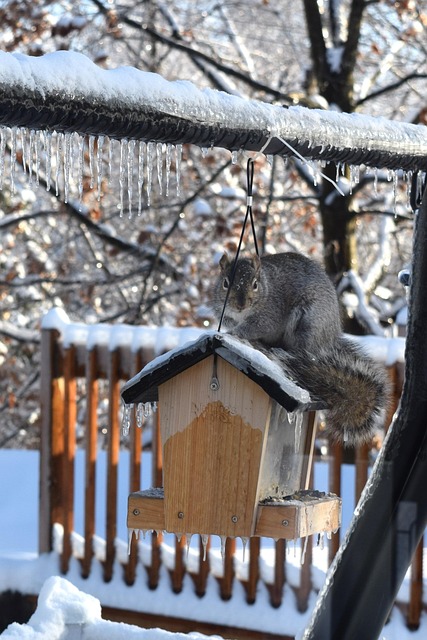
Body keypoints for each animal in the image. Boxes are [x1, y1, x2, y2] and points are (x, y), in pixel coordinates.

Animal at [212, 251, 389, 445]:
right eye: (225, 283)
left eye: (255, 284)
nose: (241, 304)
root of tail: (331, 338)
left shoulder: (270, 314)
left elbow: (255, 327)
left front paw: (235, 332)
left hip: (307, 325)